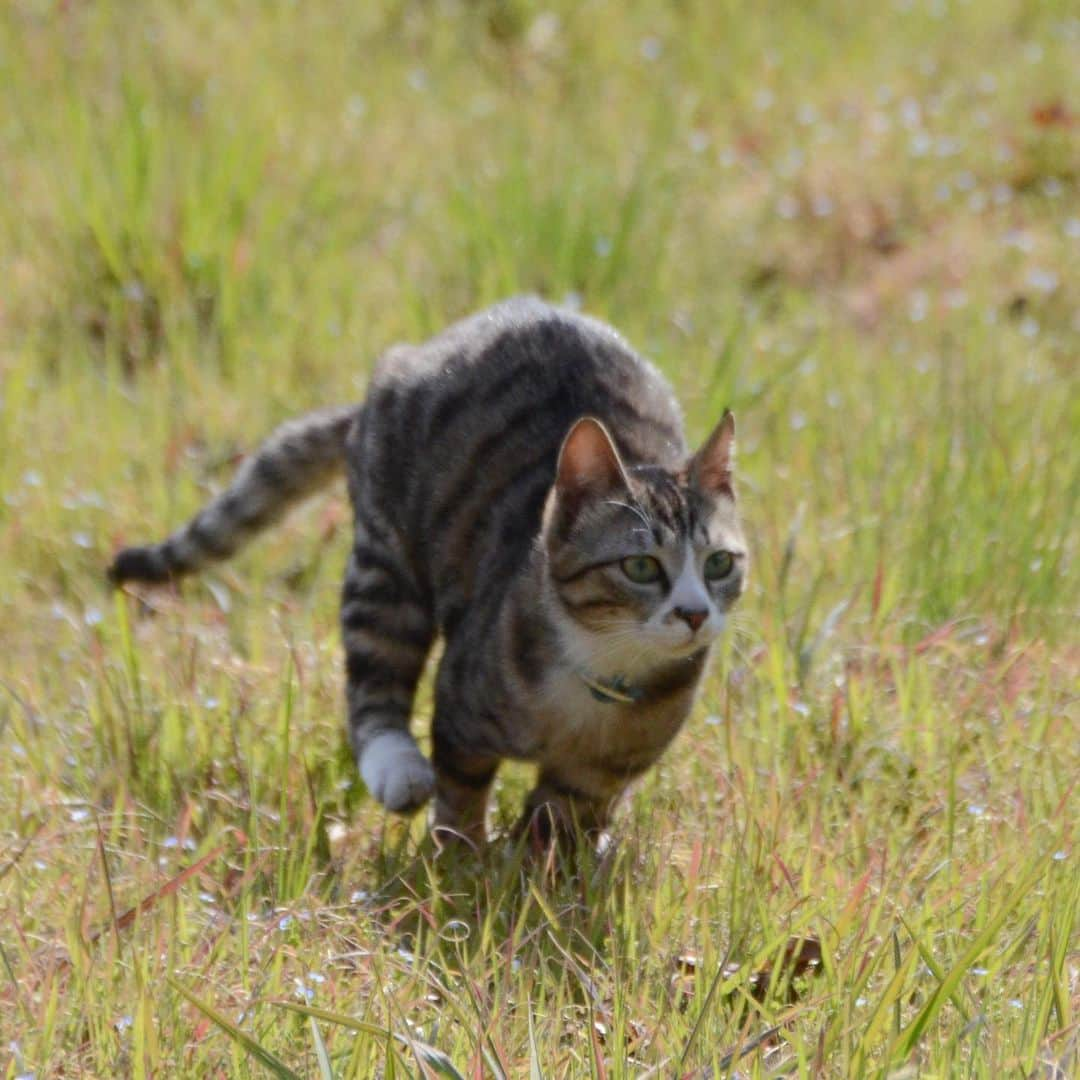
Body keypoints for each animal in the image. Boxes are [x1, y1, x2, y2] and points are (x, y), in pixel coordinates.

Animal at [111, 295, 751, 842]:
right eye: (641, 566)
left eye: (719, 563)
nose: (695, 613)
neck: (604, 676)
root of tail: (395, 370)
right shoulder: (462, 711)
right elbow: (460, 789)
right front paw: (461, 862)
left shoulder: (601, 773)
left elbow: (559, 822)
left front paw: (543, 873)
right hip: (385, 564)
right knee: (373, 679)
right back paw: (396, 767)